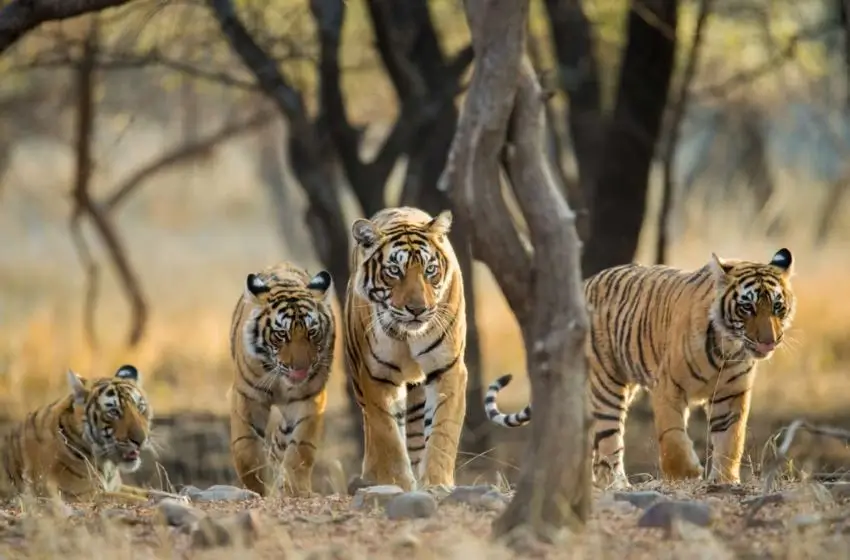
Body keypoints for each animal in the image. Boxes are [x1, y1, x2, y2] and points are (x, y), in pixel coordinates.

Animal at [0, 364, 155, 502]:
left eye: (140, 407)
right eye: (113, 412)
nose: (141, 440)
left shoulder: (116, 487)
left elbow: (151, 493)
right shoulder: (83, 494)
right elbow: (138, 500)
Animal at [229, 261, 336, 497]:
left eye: (312, 332)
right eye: (281, 334)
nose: (301, 368)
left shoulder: (309, 399)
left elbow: (300, 448)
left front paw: (295, 489)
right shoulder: (248, 396)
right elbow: (246, 448)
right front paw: (257, 487)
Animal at [344, 206, 467, 491]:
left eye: (430, 270)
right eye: (394, 271)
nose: (417, 309)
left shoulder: (448, 368)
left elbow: (443, 431)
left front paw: (437, 483)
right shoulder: (377, 376)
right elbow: (387, 434)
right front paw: (395, 482)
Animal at [484, 248, 796, 490]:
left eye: (777, 307)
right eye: (747, 308)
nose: (769, 340)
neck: (728, 348)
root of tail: (584, 283)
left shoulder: (731, 395)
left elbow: (731, 439)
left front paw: (725, 480)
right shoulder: (668, 387)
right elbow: (672, 435)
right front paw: (686, 474)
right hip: (606, 386)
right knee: (609, 443)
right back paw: (617, 485)